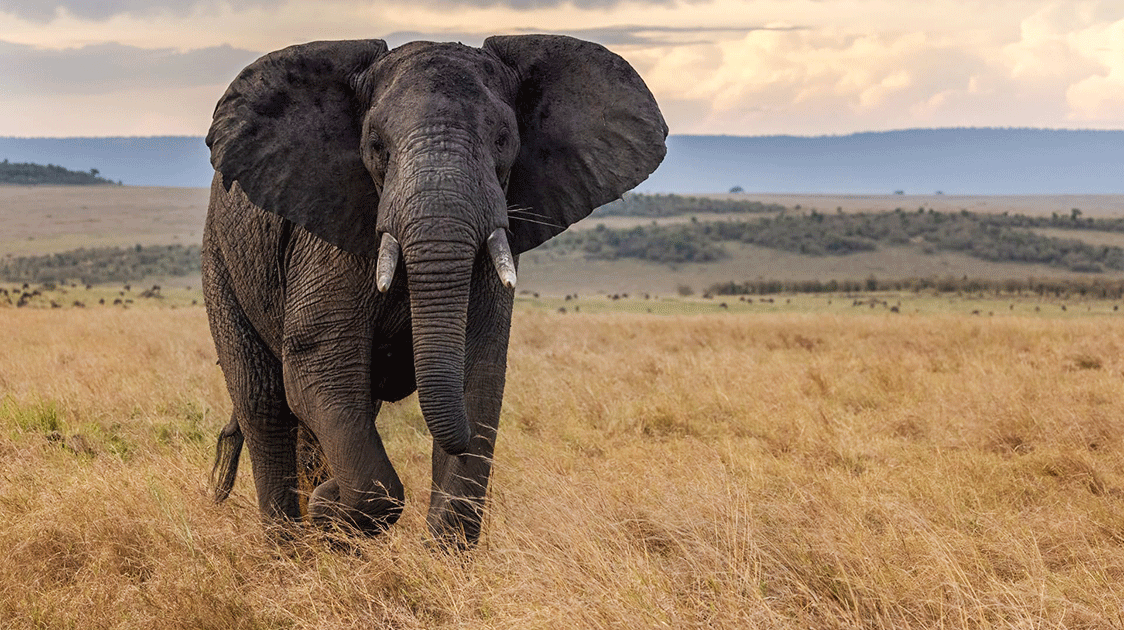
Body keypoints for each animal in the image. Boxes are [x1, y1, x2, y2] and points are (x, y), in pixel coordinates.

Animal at [203, 34, 666, 547]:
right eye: (375, 145)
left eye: (503, 140)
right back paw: (289, 549)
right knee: (264, 403)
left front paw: (434, 553)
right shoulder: (328, 236)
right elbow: (318, 366)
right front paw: (331, 512)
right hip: (221, 260)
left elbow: (479, 371)